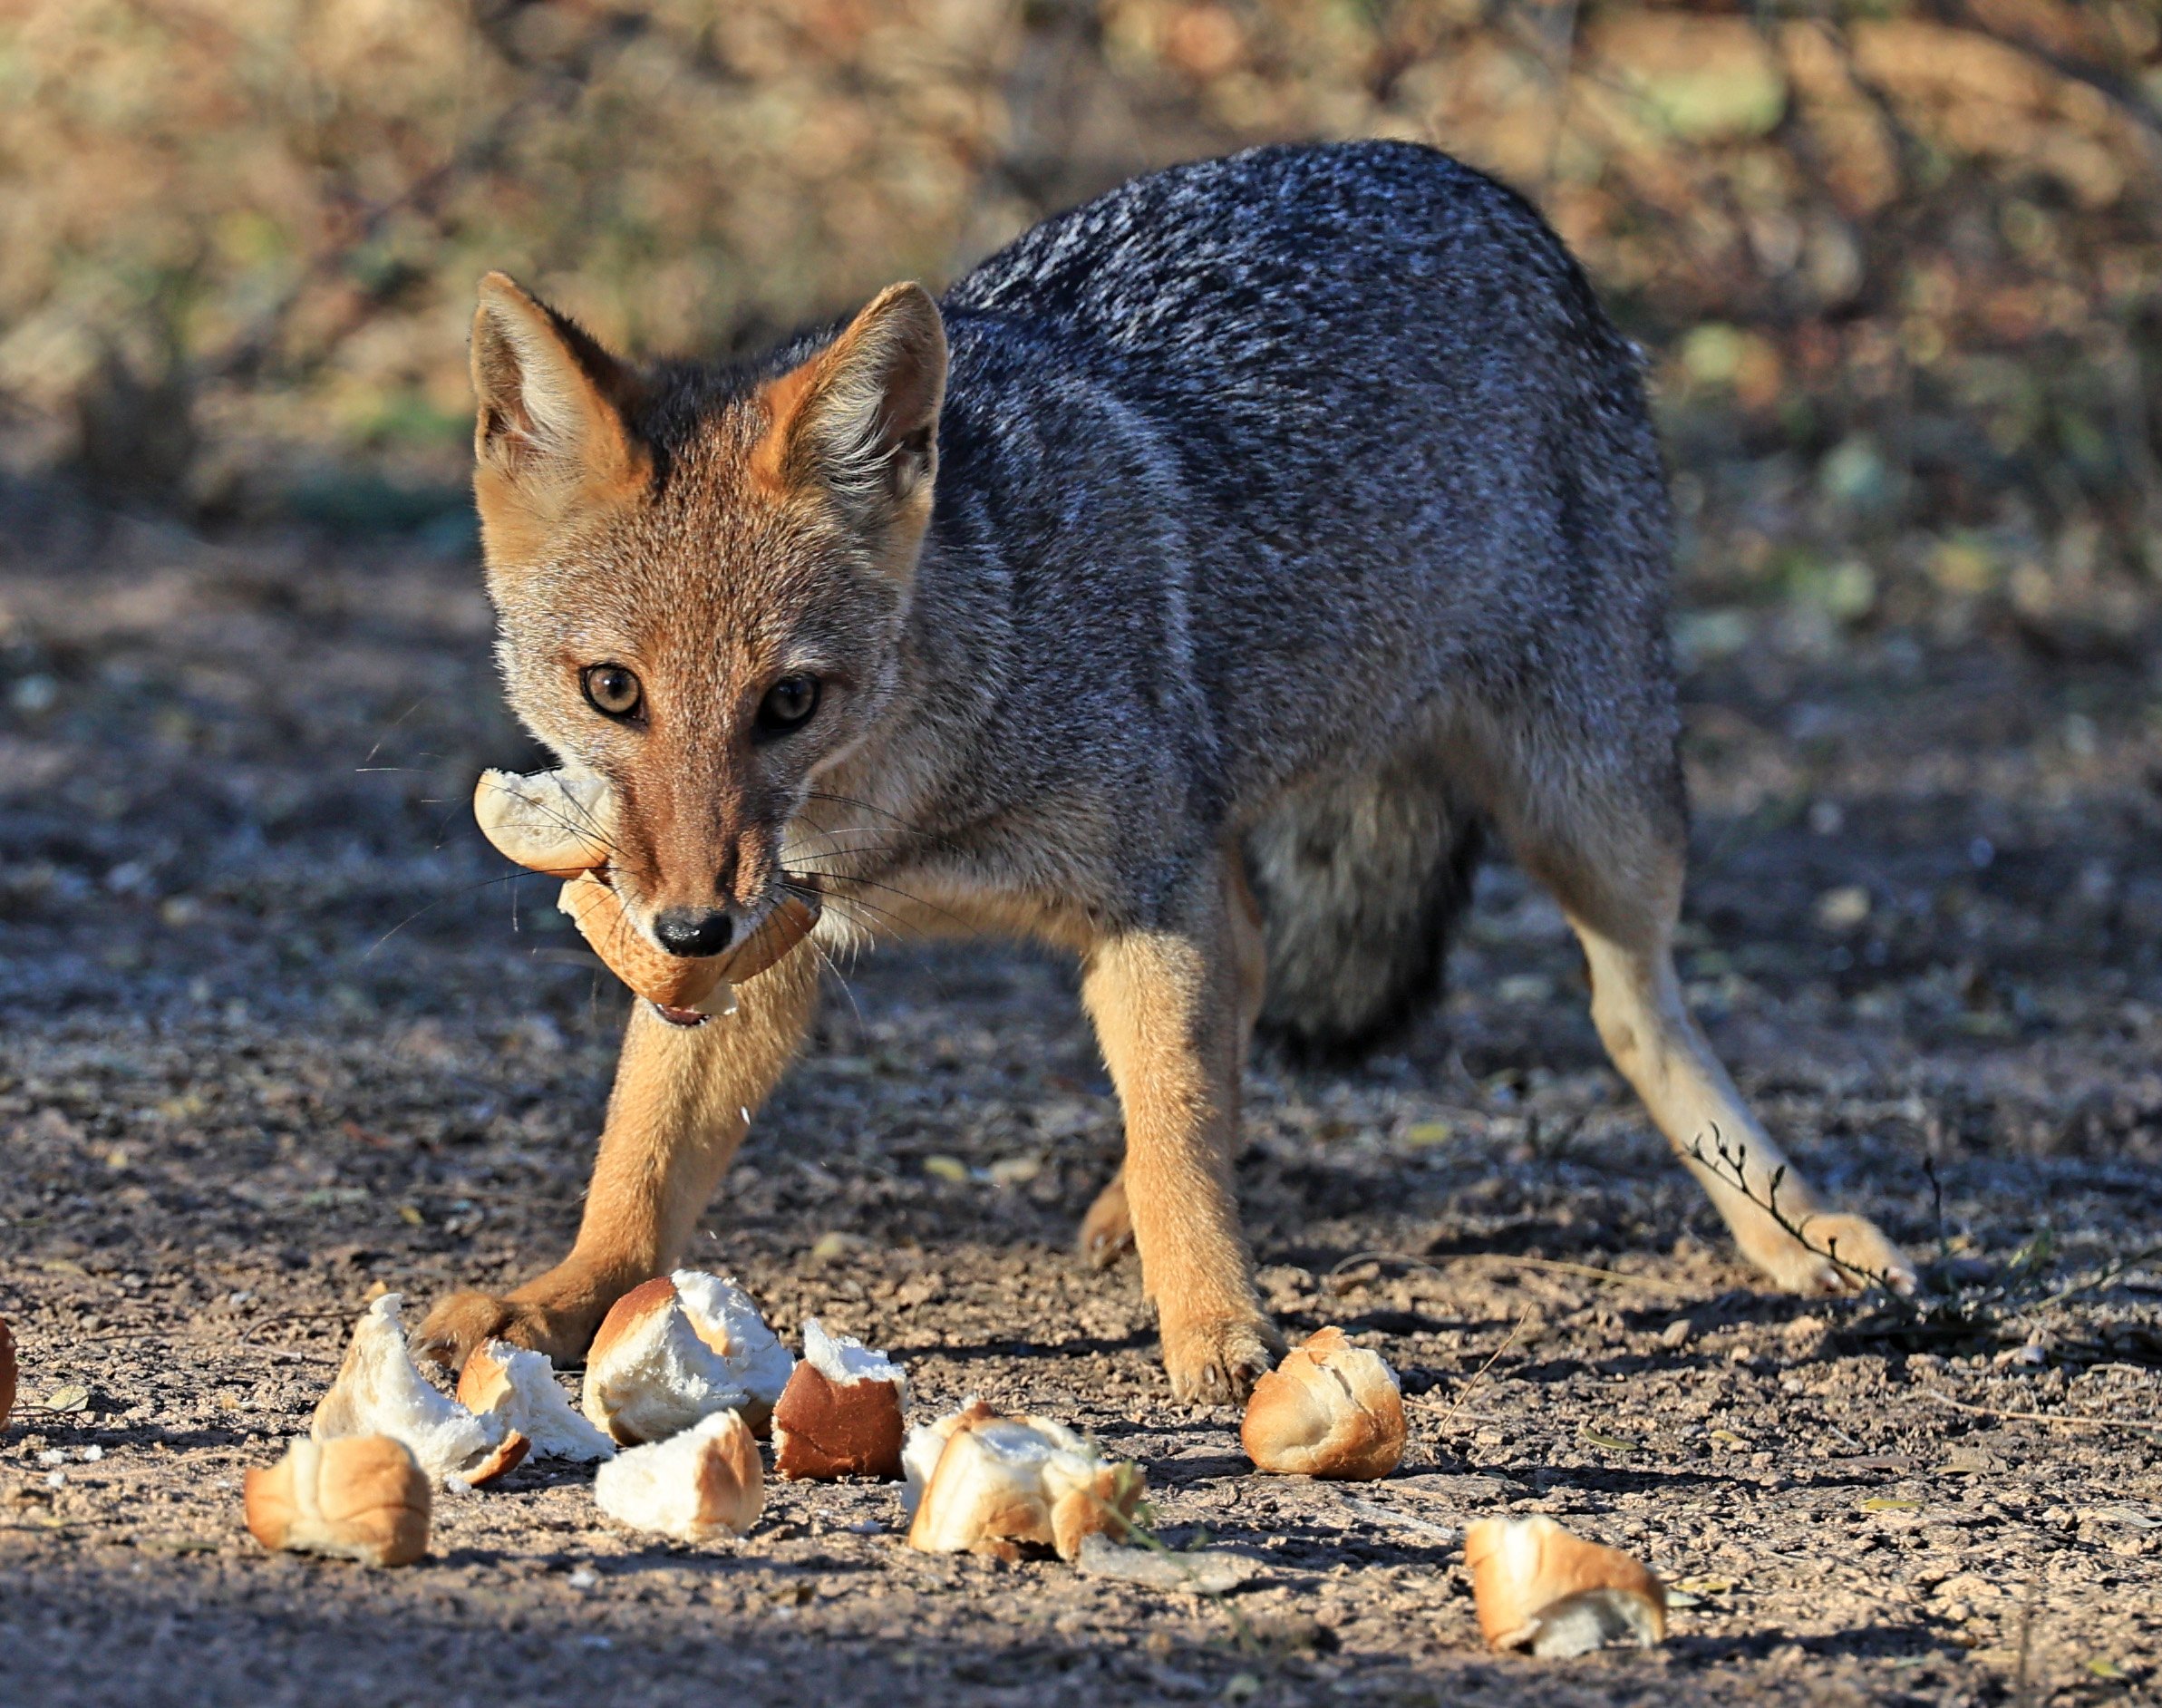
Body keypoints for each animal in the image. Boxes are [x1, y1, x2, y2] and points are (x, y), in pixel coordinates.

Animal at [414, 140, 1916, 1402]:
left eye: (789, 702)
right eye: (612, 693)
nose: (683, 929)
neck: (920, 785)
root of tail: (1467, 176)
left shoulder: (1140, 895)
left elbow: (1184, 1130)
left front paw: (1218, 1326)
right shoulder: (784, 937)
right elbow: (645, 1156)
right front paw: (569, 1292)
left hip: (1592, 808)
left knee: (1627, 1008)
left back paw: (1797, 1234)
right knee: (1252, 955)